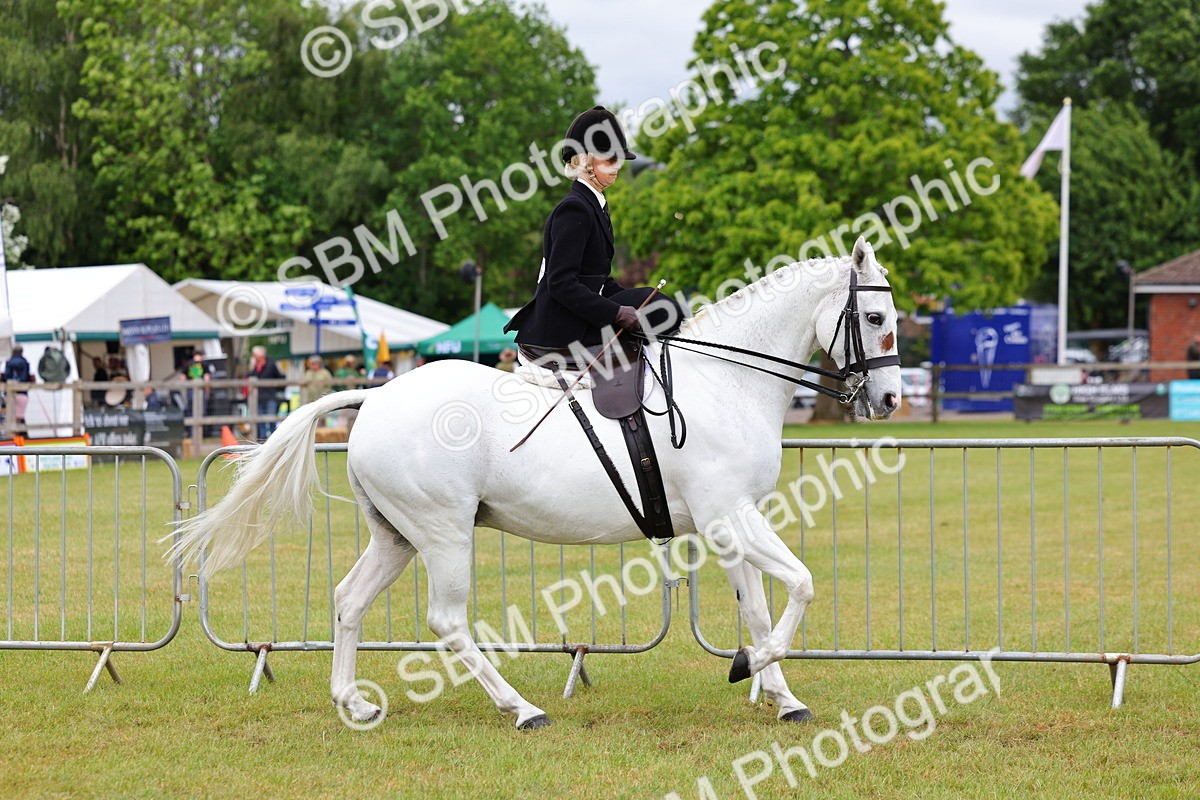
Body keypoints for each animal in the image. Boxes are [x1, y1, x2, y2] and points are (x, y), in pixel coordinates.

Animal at [169, 236, 902, 729]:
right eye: (874, 319)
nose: (891, 400)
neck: (725, 381)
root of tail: (374, 397)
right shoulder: (731, 516)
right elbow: (802, 584)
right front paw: (749, 667)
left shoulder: (730, 522)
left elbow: (758, 608)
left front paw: (780, 695)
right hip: (443, 532)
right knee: (446, 620)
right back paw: (520, 708)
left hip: (397, 536)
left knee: (350, 600)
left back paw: (352, 701)